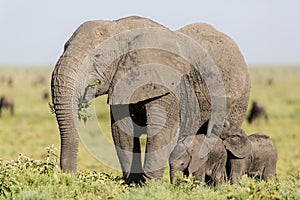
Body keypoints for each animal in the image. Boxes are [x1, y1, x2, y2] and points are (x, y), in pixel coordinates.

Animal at [51, 16, 251, 184]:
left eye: (97, 56)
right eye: (64, 47)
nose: (69, 177)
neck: (121, 27)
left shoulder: (168, 86)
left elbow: (162, 130)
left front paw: (150, 186)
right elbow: (122, 131)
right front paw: (134, 185)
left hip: (239, 99)